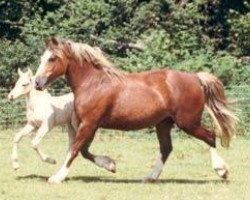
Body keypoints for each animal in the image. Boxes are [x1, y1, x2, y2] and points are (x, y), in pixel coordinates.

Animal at [34, 38, 236, 184]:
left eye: (52, 58)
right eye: (42, 58)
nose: (37, 83)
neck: (93, 83)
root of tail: (195, 78)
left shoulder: (89, 123)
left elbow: (74, 150)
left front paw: (56, 177)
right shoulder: (90, 125)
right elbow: (83, 150)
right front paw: (111, 165)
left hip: (188, 122)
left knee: (210, 136)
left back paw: (222, 171)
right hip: (164, 123)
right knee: (167, 148)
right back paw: (150, 177)